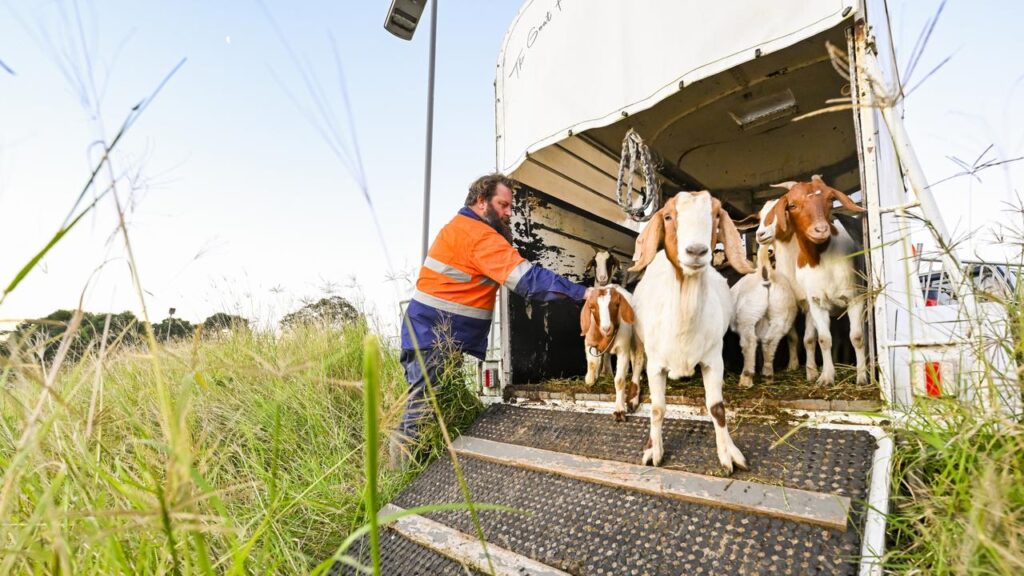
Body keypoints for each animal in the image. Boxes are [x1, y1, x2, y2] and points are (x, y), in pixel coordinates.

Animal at [729, 241, 798, 385]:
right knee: (770, 341)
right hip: (781, 315)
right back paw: (767, 375)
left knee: (749, 342)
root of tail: (765, 273)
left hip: (747, 317)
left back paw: (746, 378)